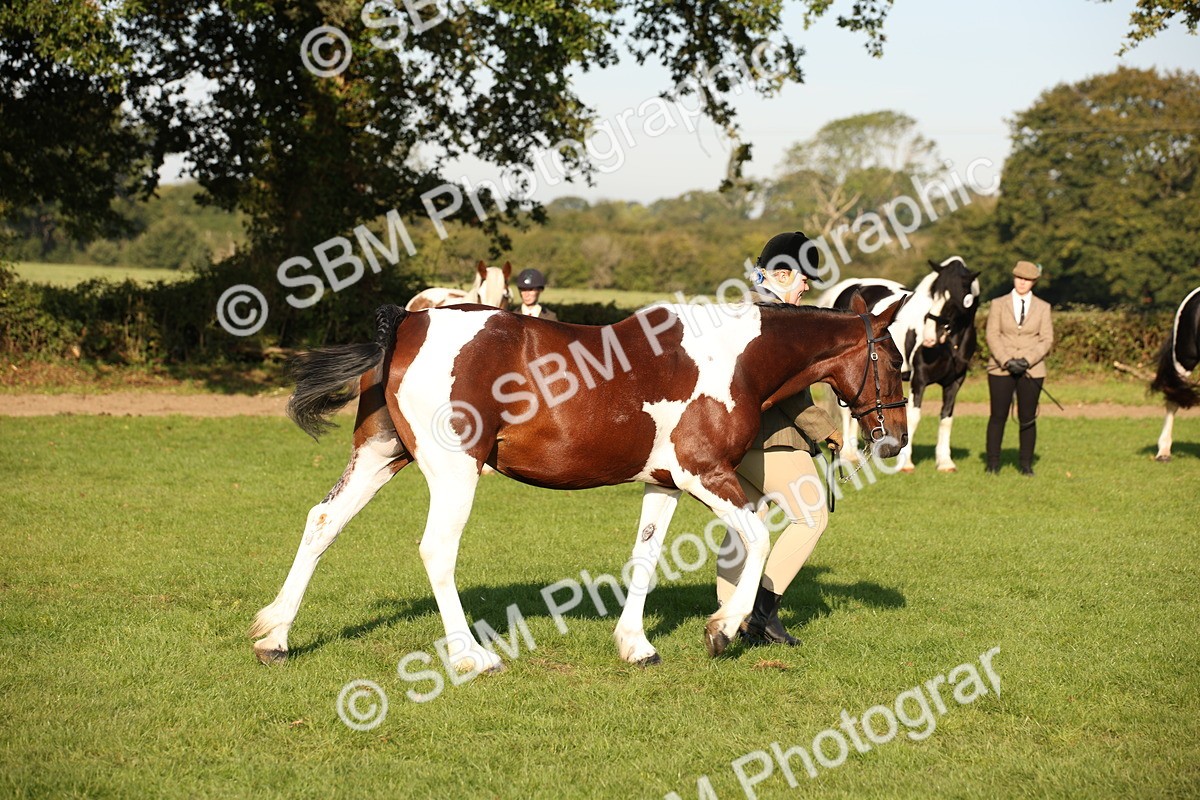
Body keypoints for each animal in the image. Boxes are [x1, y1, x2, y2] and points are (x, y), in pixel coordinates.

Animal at [249, 293, 909, 671]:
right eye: (898, 361)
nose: (895, 441)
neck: (734, 359)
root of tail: (409, 322)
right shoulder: (703, 474)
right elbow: (759, 537)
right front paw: (722, 630)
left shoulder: (665, 483)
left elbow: (645, 558)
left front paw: (636, 646)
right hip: (454, 472)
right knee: (436, 550)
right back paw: (471, 657)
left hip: (381, 457)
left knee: (323, 522)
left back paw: (275, 636)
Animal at [815, 256, 980, 472]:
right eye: (932, 296)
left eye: (953, 298)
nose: (929, 337)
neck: (951, 344)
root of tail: (849, 285)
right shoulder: (919, 379)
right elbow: (913, 417)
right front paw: (906, 462)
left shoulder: (955, 381)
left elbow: (946, 419)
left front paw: (945, 461)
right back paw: (848, 454)